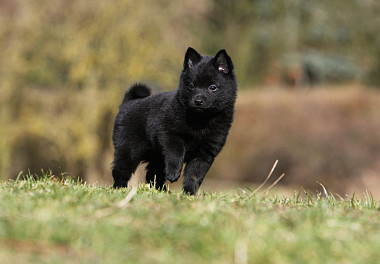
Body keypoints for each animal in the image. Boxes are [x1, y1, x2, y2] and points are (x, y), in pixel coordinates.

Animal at [112, 47, 238, 194]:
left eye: (213, 87)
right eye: (191, 85)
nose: (198, 101)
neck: (200, 120)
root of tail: (127, 103)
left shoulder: (205, 152)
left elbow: (194, 175)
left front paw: (189, 193)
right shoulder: (170, 135)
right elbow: (176, 153)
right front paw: (173, 173)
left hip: (156, 156)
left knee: (152, 175)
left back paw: (162, 191)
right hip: (129, 149)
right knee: (120, 170)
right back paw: (119, 188)